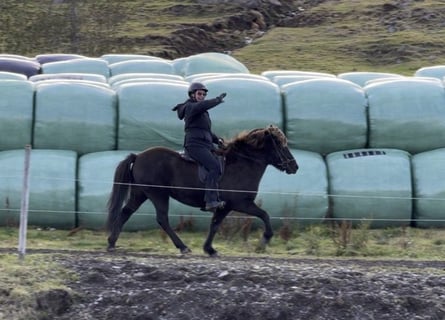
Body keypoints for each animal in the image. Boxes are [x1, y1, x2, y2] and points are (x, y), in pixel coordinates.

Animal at [106, 124, 296, 256]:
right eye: (281, 145)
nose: (295, 166)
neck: (242, 164)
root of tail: (138, 156)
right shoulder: (241, 203)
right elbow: (264, 215)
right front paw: (264, 241)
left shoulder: (225, 207)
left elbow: (215, 225)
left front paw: (209, 249)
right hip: (158, 194)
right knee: (162, 219)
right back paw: (183, 247)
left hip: (141, 193)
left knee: (126, 212)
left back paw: (111, 243)